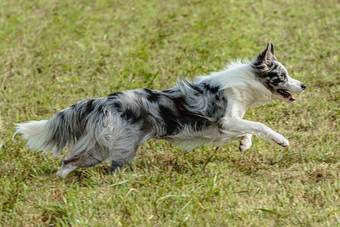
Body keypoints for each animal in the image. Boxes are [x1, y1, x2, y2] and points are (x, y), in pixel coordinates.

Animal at [14, 43, 306, 177]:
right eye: (282, 75)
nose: (303, 84)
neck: (247, 82)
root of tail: (102, 100)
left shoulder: (223, 128)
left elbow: (248, 131)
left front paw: (244, 145)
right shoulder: (225, 120)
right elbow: (259, 126)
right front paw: (282, 140)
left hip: (98, 148)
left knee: (68, 161)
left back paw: (59, 181)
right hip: (122, 147)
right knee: (110, 169)